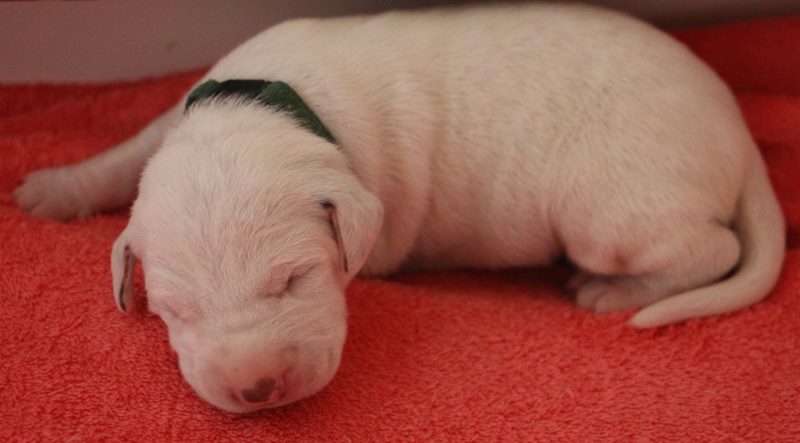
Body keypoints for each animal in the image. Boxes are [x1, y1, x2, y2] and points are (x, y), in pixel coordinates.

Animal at [13, 3, 785, 413]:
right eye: (174, 311)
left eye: (294, 279)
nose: (255, 390)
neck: (275, 106)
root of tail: (739, 131)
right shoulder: (175, 118)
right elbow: (128, 153)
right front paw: (49, 188)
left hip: (609, 207)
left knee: (712, 249)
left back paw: (610, 290)